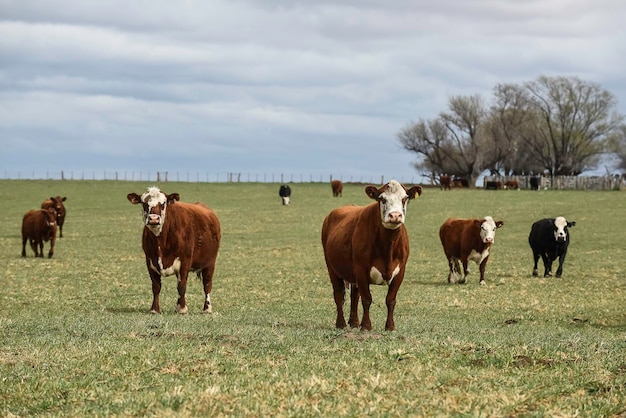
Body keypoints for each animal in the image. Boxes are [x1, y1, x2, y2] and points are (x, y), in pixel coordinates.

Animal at [320, 179, 422, 330]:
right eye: (382, 199)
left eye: (405, 198)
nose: (395, 215)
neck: (388, 246)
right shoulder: (361, 269)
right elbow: (367, 299)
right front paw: (366, 326)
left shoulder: (400, 271)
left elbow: (390, 299)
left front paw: (390, 326)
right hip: (332, 268)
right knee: (339, 294)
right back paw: (341, 324)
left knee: (355, 294)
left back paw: (354, 322)